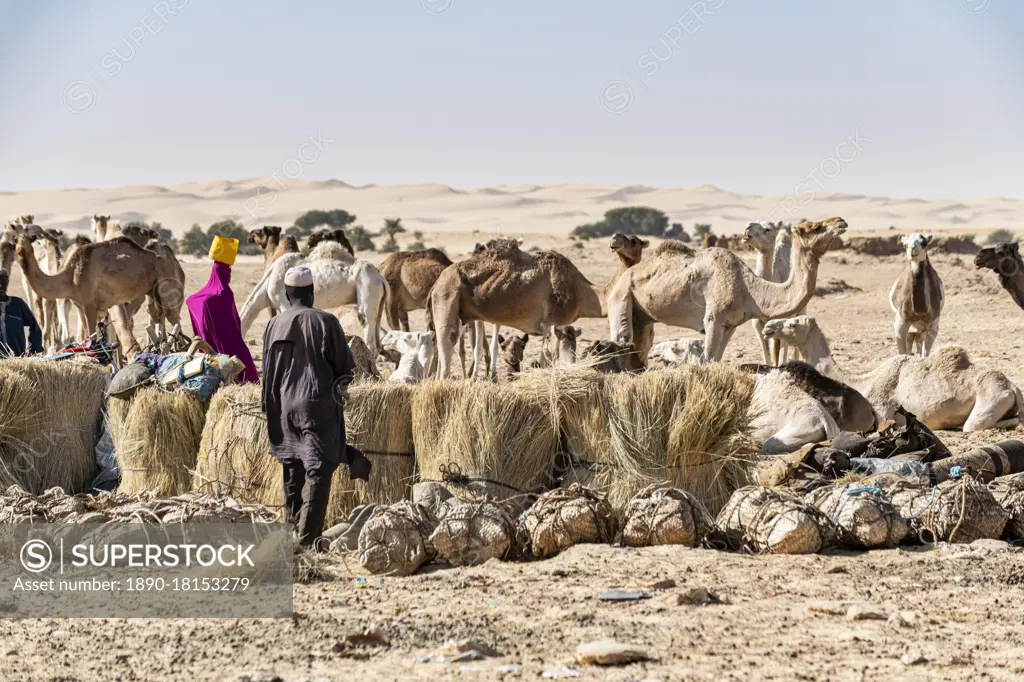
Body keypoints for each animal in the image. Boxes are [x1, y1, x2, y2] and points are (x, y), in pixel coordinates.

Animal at [17, 232, 181, 352]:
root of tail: (165, 260)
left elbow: (92, 337)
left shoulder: (89, 305)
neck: (69, 277)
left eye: (25, 240)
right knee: (159, 315)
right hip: (152, 293)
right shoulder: (80, 306)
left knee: (173, 317)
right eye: (16, 240)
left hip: (165, 283)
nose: (19, 249)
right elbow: (90, 336)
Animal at [237, 238, 389, 356]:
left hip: (368, 292)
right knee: (377, 341)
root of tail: (381, 279)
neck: (267, 284)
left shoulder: (284, 303)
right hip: (379, 304)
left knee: (369, 334)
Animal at [432, 231, 647, 374]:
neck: (582, 293)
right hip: (447, 299)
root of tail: (438, 282)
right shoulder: (550, 322)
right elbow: (547, 360)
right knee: (445, 352)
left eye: (634, 240)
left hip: (462, 315)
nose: (615, 238)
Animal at [606, 219, 847, 364]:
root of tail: (624, 275)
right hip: (621, 296)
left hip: (642, 317)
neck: (749, 289)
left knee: (641, 346)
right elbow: (708, 359)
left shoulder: (730, 324)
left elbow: (716, 359)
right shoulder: (713, 319)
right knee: (622, 337)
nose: (841, 221)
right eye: (815, 227)